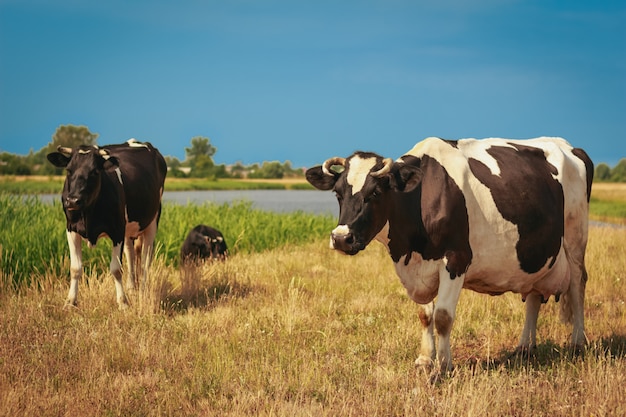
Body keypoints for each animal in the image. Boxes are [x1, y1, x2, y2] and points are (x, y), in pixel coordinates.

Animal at [46, 138, 167, 308]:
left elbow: (116, 269)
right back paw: (132, 288)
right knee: (131, 254)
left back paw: (142, 292)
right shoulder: (71, 229)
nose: (73, 200)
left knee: (145, 260)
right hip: (128, 229)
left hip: (152, 220)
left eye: (95, 172)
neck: (88, 215)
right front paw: (70, 302)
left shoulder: (117, 231)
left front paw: (123, 303)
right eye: (69, 170)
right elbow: (75, 268)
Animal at [304, 137, 592, 374]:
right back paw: (524, 347)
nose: (341, 238)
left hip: (576, 240)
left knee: (578, 285)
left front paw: (443, 367)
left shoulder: (456, 259)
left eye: (375, 193)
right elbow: (425, 315)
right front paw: (424, 359)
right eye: (338, 193)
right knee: (533, 294)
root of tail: (570, 146)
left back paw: (577, 343)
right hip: (538, 252)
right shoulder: (419, 268)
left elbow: (443, 317)